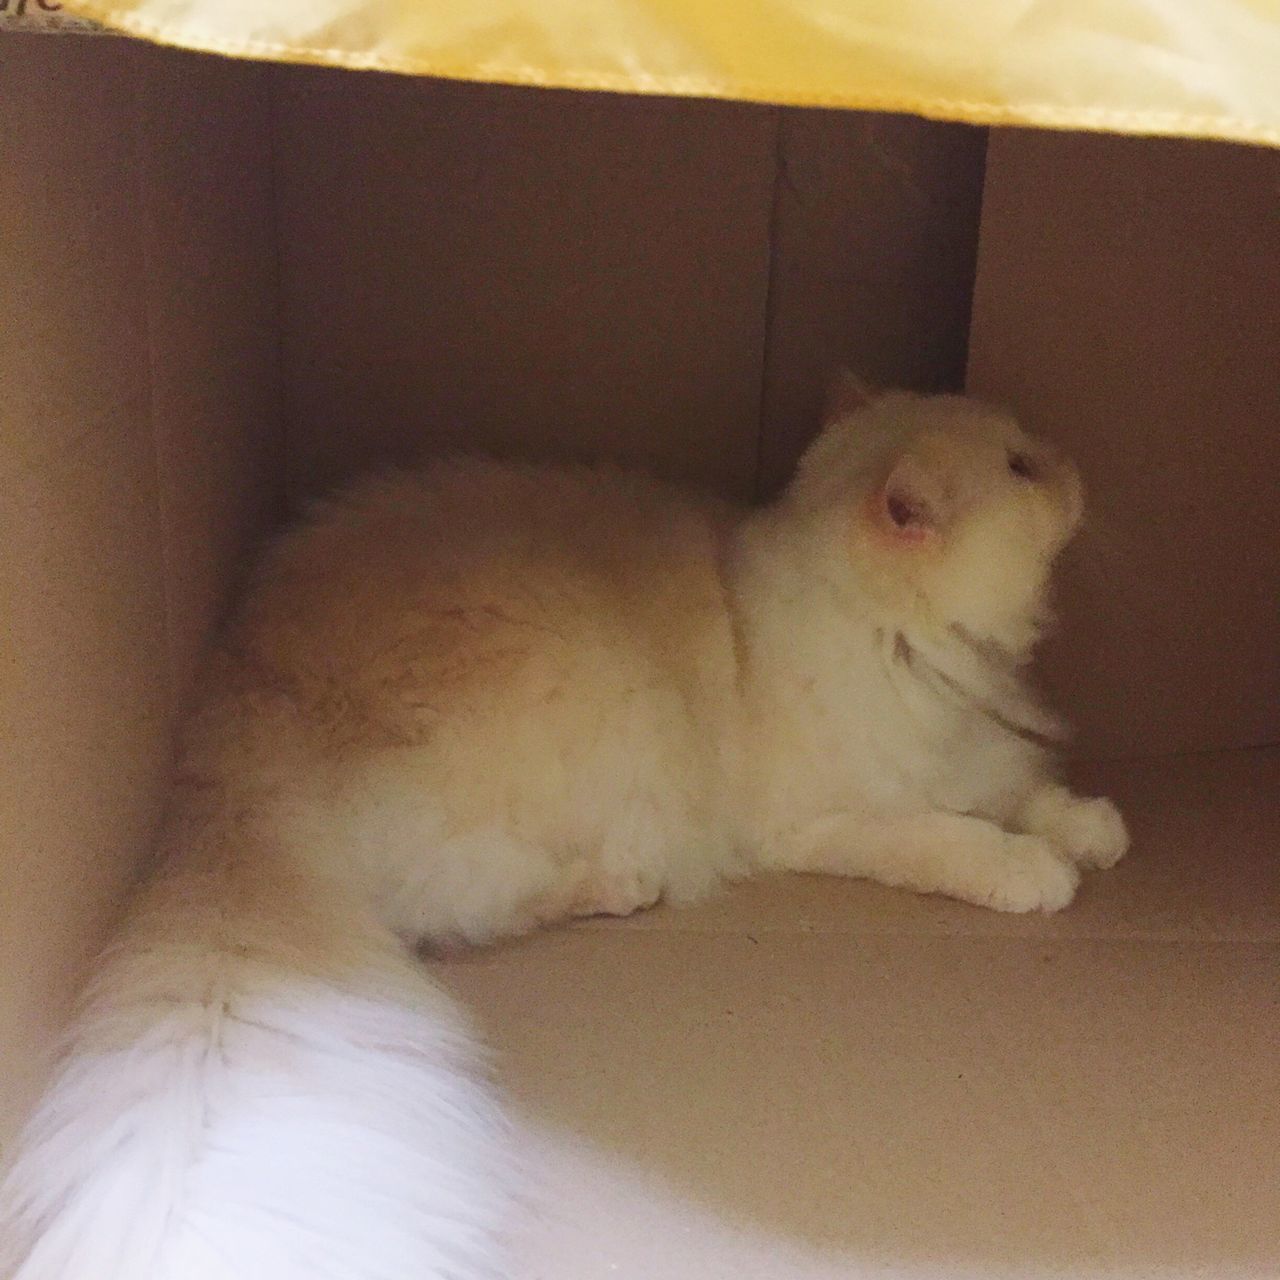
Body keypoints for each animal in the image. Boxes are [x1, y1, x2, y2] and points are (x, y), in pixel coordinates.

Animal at [0, 381, 1126, 1280]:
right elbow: (951, 837)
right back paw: (623, 886)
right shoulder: (832, 818)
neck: (918, 649)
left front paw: (1093, 828)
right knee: (479, 909)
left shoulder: (987, 751)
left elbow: (1029, 792)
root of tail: (226, 734)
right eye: (1022, 467)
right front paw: (1034, 871)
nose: (1074, 458)